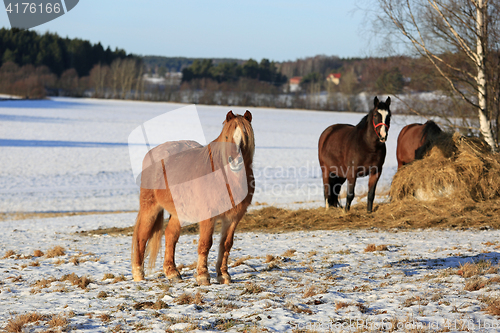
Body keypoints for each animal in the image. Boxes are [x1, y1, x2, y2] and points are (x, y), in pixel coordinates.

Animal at [131, 109, 256, 286]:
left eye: (245, 137)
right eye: (227, 137)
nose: (236, 162)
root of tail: (152, 153)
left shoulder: (233, 218)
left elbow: (226, 245)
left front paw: (224, 275)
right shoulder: (208, 216)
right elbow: (205, 243)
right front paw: (203, 276)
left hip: (178, 213)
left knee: (170, 235)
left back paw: (172, 273)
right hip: (151, 208)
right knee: (142, 237)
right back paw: (138, 275)